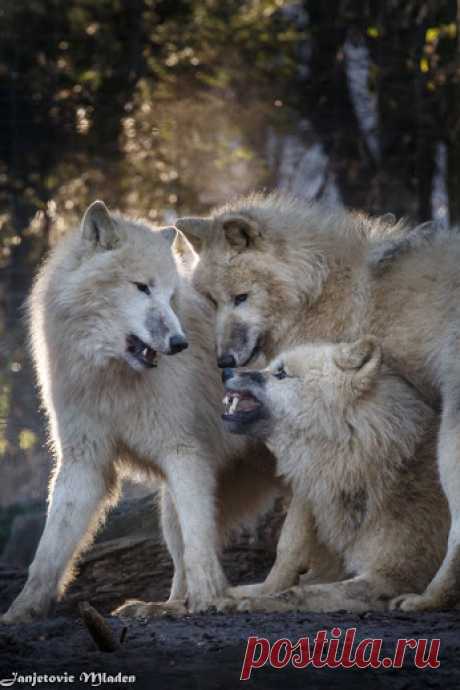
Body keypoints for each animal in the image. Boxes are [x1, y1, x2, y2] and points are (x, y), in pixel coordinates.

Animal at [1, 200, 293, 624]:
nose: (179, 342)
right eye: (141, 287)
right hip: (169, 503)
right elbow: (49, 549)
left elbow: (198, 542)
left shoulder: (184, 454)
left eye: (171, 297)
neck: (114, 381)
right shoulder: (84, 461)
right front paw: (22, 610)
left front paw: (211, 598)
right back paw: (162, 607)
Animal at [214, 337, 449, 613]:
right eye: (270, 367)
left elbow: (298, 592)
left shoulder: (389, 577)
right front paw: (233, 595)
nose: (225, 372)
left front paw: (256, 602)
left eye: (281, 373)